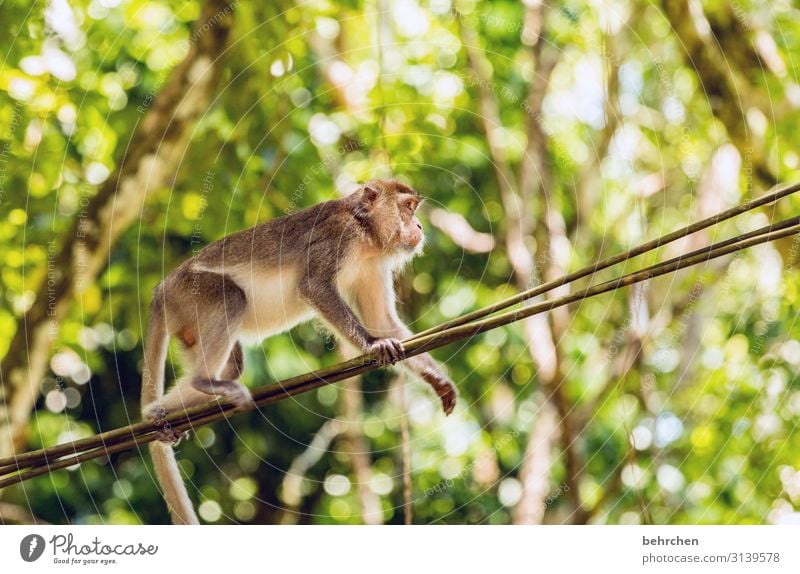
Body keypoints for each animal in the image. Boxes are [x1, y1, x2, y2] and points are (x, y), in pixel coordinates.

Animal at [141, 180, 460, 528]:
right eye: (408, 207)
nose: (419, 226)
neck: (365, 233)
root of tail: (161, 291)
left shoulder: (374, 264)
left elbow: (383, 322)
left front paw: (435, 377)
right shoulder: (339, 235)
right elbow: (314, 287)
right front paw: (372, 346)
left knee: (232, 364)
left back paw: (163, 411)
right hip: (191, 292)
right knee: (231, 298)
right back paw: (202, 383)